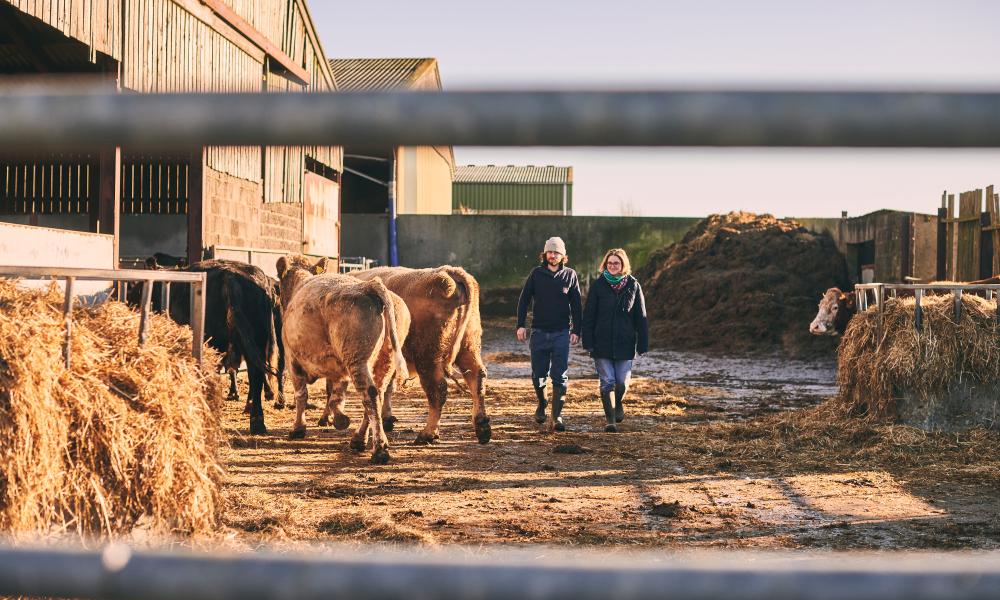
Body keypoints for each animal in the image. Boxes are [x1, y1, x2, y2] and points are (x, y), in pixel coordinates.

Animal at [274, 253, 410, 464]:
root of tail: (369, 285)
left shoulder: (292, 359)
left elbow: (301, 395)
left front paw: (298, 428)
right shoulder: (337, 369)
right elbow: (335, 395)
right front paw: (337, 418)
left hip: (357, 359)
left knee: (370, 396)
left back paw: (379, 449)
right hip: (384, 361)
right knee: (377, 394)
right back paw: (359, 439)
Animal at [330, 268, 490, 446]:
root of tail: (448, 272)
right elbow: (387, 388)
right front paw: (387, 419)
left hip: (427, 359)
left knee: (437, 390)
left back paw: (427, 434)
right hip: (468, 348)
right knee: (477, 377)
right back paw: (482, 427)